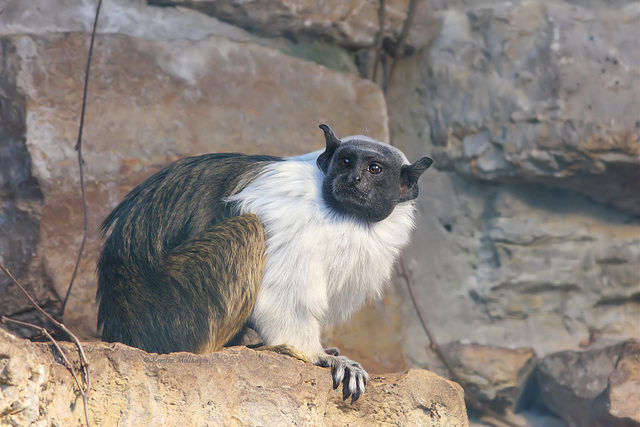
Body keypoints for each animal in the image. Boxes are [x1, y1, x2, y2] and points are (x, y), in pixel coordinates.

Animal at [96, 124, 436, 402]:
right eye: (345, 162)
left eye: (374, 169)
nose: (353, 178)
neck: (343, 214)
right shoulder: (293, 218)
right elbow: (284, 299)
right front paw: (318, 356)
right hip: (169, 310)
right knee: (248, 228)